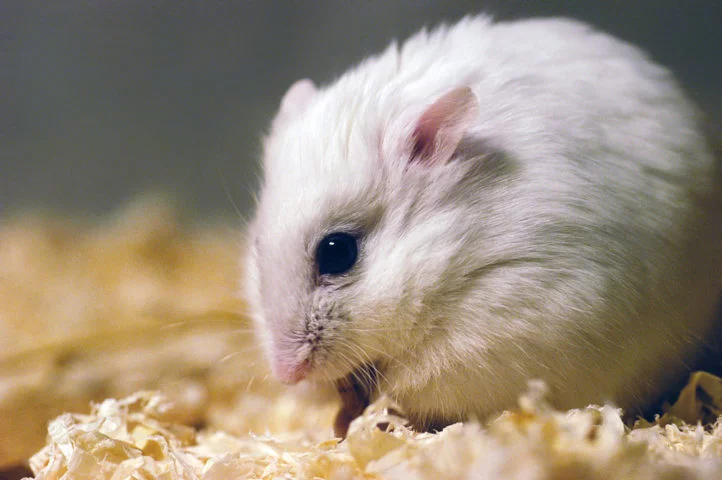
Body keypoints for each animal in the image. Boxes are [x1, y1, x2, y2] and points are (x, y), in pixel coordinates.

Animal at [244, 15, 722, 431]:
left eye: (337, 251)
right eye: (256, 246)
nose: (286, 374)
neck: (457, 244)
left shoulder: (505, 324)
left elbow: (412, 383)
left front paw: (376, 411)